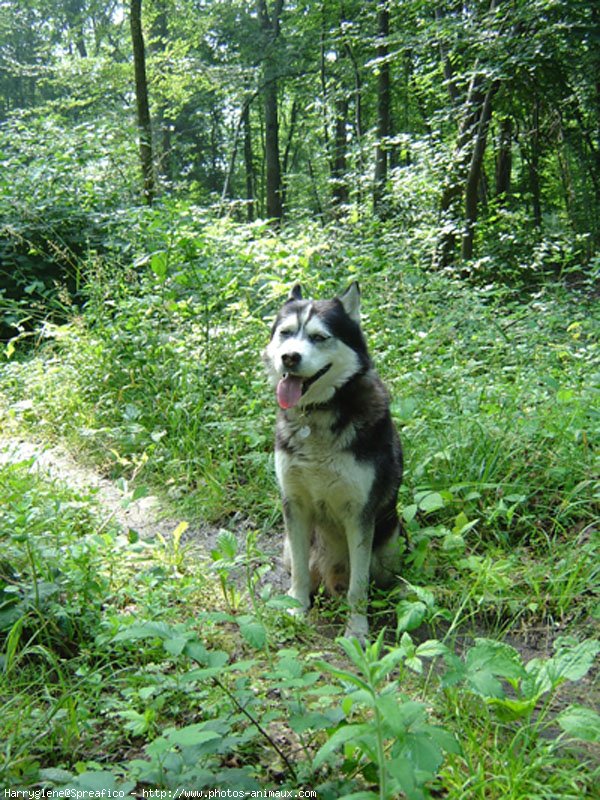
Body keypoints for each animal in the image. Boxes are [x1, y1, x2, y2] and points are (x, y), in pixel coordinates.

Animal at [264, 284, 400, 640]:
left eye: (319, 337)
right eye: (285, 333)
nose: (289, 357)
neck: (318, 415)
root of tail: (330, 574)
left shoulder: (359, 515)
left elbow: (358, 587)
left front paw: (357, 631)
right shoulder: (295, 505)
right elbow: (299, 572)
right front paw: (296, 608)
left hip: (390, 543)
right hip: (288, 545)